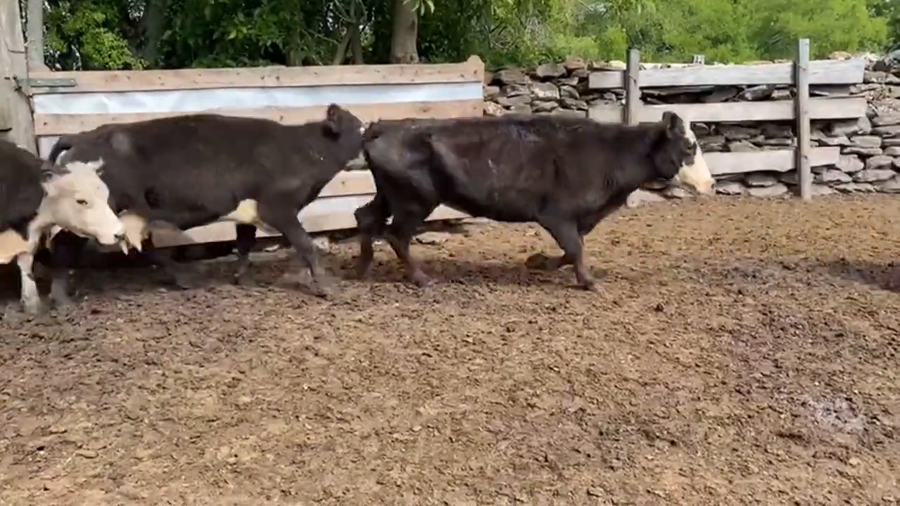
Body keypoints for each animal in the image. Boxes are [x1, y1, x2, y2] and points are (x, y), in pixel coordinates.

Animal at [45, 103, 365, 305]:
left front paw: (242, 278)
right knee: (66, 244)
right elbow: (306, 245)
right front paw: (326, 287)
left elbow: (244, 244)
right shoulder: (278, 208)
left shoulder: (246, 210)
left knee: (141, 245)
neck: (304, 150)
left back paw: (182, 276)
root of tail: (82, 136)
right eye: (362, 129)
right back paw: (60, 297)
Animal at [353, 111, 715, 290]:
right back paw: (420, 278)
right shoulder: (557, 215)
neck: (610, 153)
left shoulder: (576, 220)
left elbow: (571, 251)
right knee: (396, 234)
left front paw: (537, 261)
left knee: (365, 216)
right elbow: (575, 249)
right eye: (689, 146)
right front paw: (588, 282)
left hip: (389, 194)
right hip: (414, 200)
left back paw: (363, 266)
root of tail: (382, 127)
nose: (710, 183)